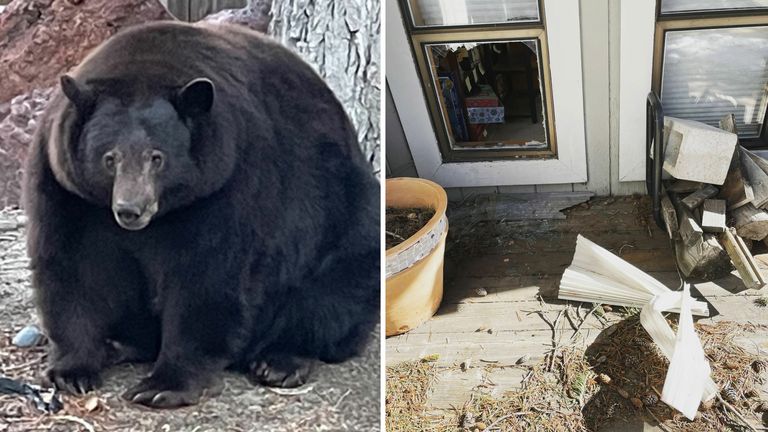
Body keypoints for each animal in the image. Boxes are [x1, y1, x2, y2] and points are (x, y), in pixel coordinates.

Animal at [24, 21, 380, 408]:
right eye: (109, 158)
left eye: (157, 157)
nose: (130, 210)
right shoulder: (66, 188)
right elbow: (74, 266)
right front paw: (72, 370)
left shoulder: (229, 181)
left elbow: (207, 275)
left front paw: (162, 385)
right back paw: (120, 344)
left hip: (344, 218)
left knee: (332, 293)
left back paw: (280, 360)